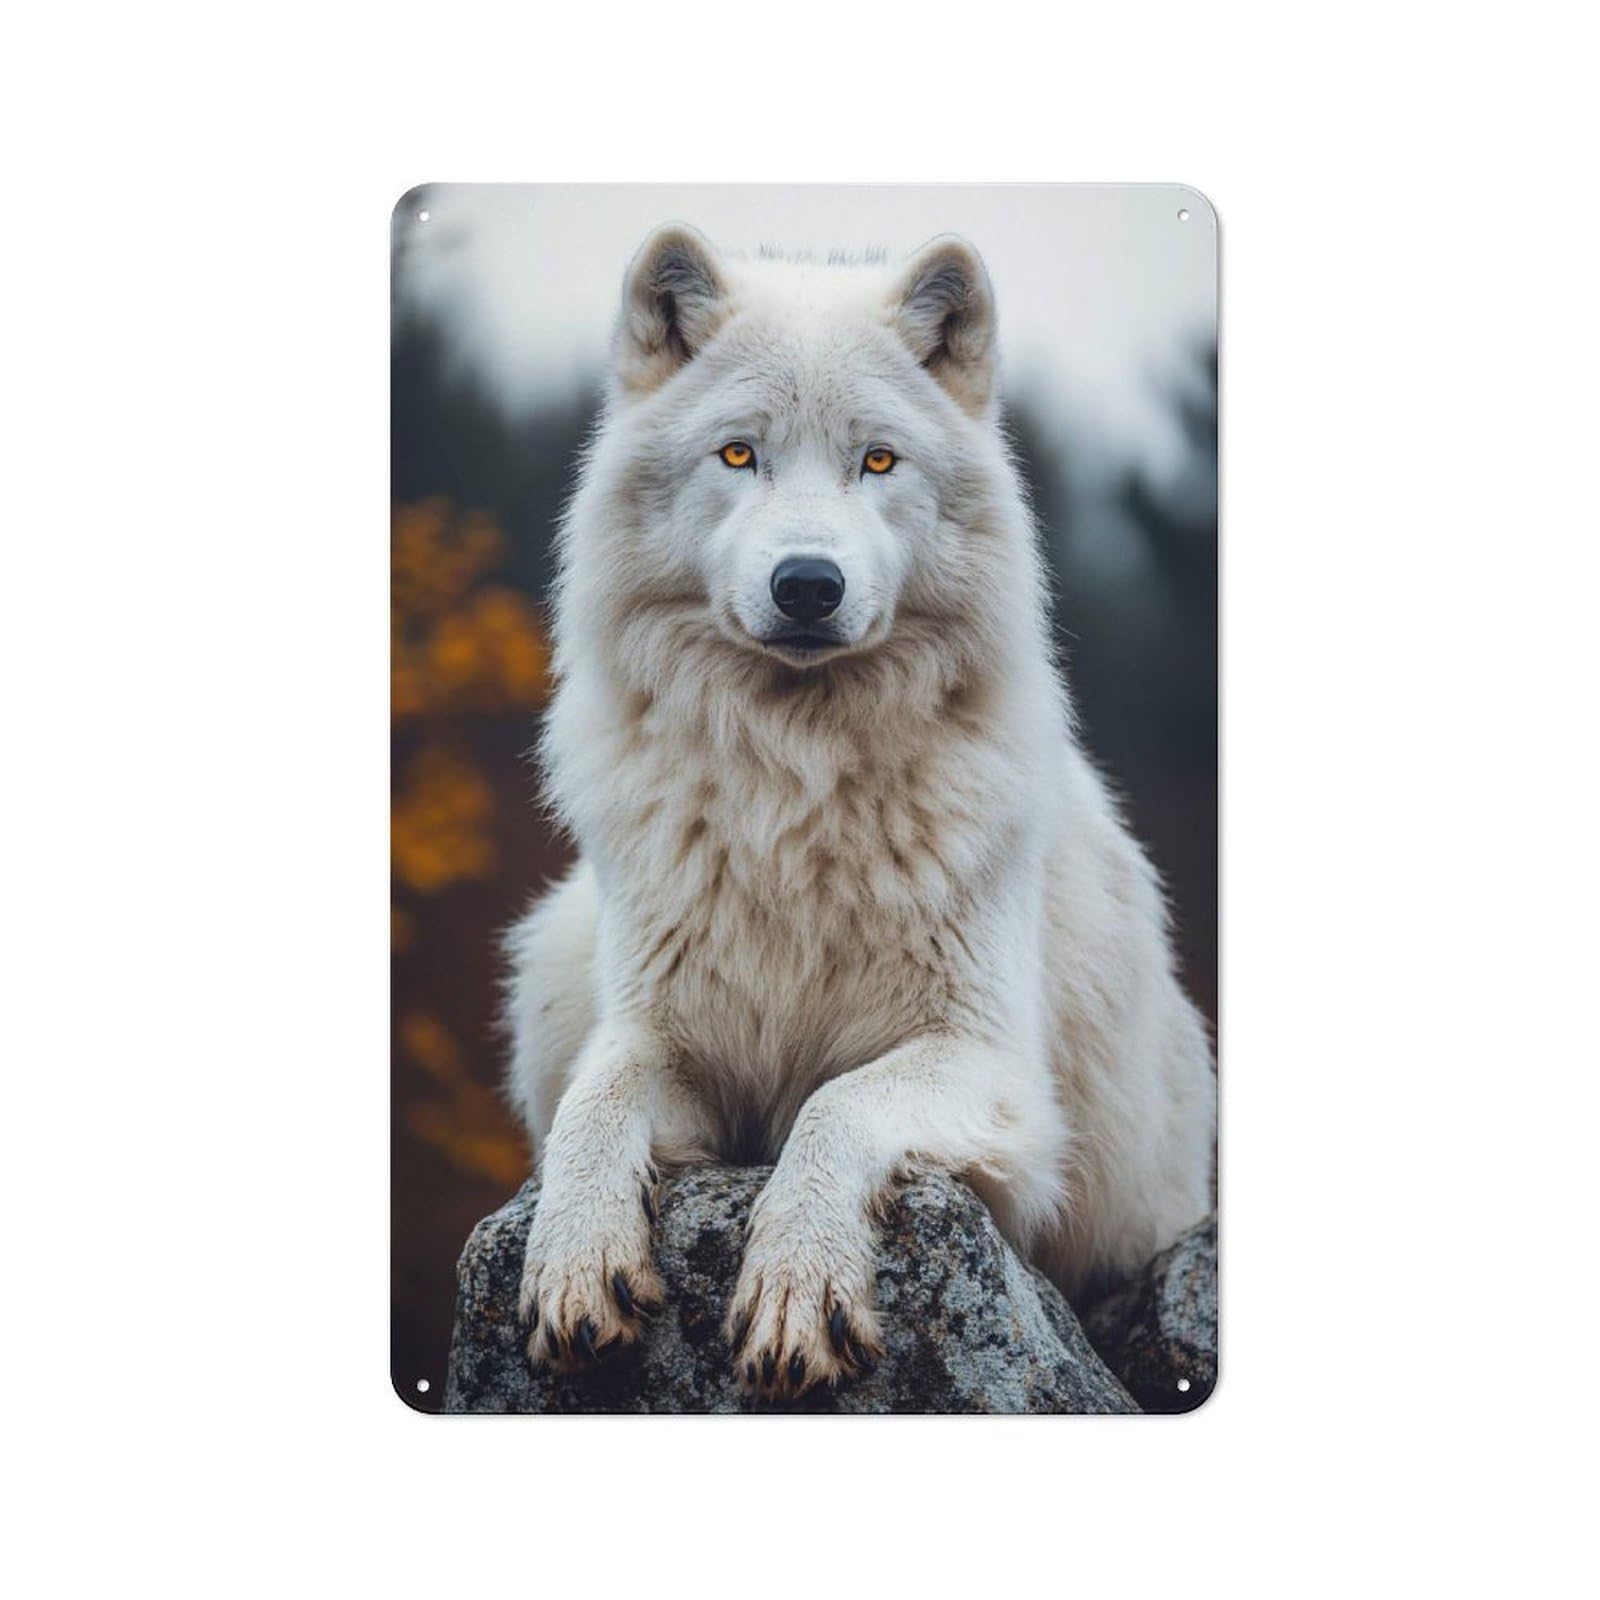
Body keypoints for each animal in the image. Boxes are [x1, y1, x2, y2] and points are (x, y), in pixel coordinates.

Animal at [504, 224, 1215, 1399]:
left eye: (876, 461)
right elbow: (591, 1107)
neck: (798, 783)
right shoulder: (661, 1034)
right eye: (738, 455)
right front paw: (573, 1262)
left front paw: (800, 1289)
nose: (807, 584)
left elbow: (833, 1109)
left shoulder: (989, 1068)